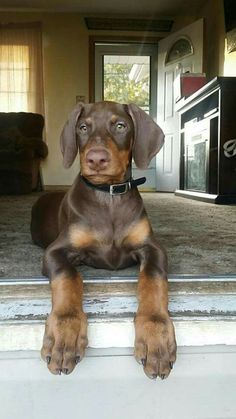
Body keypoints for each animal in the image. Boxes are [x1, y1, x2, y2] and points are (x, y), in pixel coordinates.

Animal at [30, 101, 176, 380]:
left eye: (120, 126)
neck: (108, 196)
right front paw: (65, 333)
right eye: (83, 128)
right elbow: (68, 276)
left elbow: (153, 279)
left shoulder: (153, 247)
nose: (96, 158)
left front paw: (156, 335)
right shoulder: (55, 251)